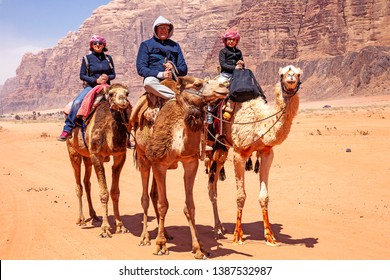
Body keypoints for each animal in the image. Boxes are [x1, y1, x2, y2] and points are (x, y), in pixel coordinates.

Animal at [64, 83, 131, 238]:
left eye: (127, 93)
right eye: (111, 94)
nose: (123, 101)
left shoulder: (120, 155)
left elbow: (115, 192)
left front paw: (120, 226)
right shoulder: (96, 155)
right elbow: (104, 193)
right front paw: (105, 229)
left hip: (87, 156)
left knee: (86, 183)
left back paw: (94, 215)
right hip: (73, 151)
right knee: (78, 186)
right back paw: (81, 219)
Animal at [130, 76, 229, 258]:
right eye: (197, 84)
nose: (224, 86)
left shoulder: (190, 162)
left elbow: (190, 206)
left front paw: (199, 247)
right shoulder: (160, 164)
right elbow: (163, 204)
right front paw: (160, 245)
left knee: (153, 194)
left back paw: (167, 233)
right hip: (143, 157)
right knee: (145, 198)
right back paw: (145, 237)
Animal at [206, 65, 304, 245]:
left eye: (298, 73)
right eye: (282, 74)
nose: (291, 78)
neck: (259, 123)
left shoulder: (267, 152)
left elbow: (264, 196)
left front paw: (270, 236)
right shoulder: (239, 152)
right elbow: (241, 196)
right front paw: (238, 236)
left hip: (222, 150)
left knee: (213, 185)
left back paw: (220, 228)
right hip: (212, 147)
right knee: (210, 187)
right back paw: (217, 230)